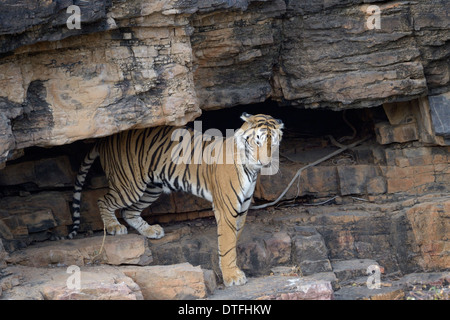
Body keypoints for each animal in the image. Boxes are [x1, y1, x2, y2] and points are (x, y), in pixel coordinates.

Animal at [68, 113, 284, 288]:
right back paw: (113, 227)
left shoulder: (242, 209)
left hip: (151, 189)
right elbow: (227, 243)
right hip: (129, 185)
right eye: (257, 142)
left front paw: (231, 268)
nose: (265, 163)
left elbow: (232, 240)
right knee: (103, 200)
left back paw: (150, 230)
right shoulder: (227, 209)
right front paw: (232, 276)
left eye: (272, 144)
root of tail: (106, 139)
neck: (252, 169)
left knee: (128, 211)